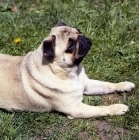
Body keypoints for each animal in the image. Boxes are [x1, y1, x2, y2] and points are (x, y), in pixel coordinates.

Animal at [0, 22, 135, 118]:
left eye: (79, 31)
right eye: (70, 46)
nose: (82, 38)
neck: (69, 73)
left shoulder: (87, 84)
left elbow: (108, 85)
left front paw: (124, 85)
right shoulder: (75, 108)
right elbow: (100, 109)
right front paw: (117, 108)